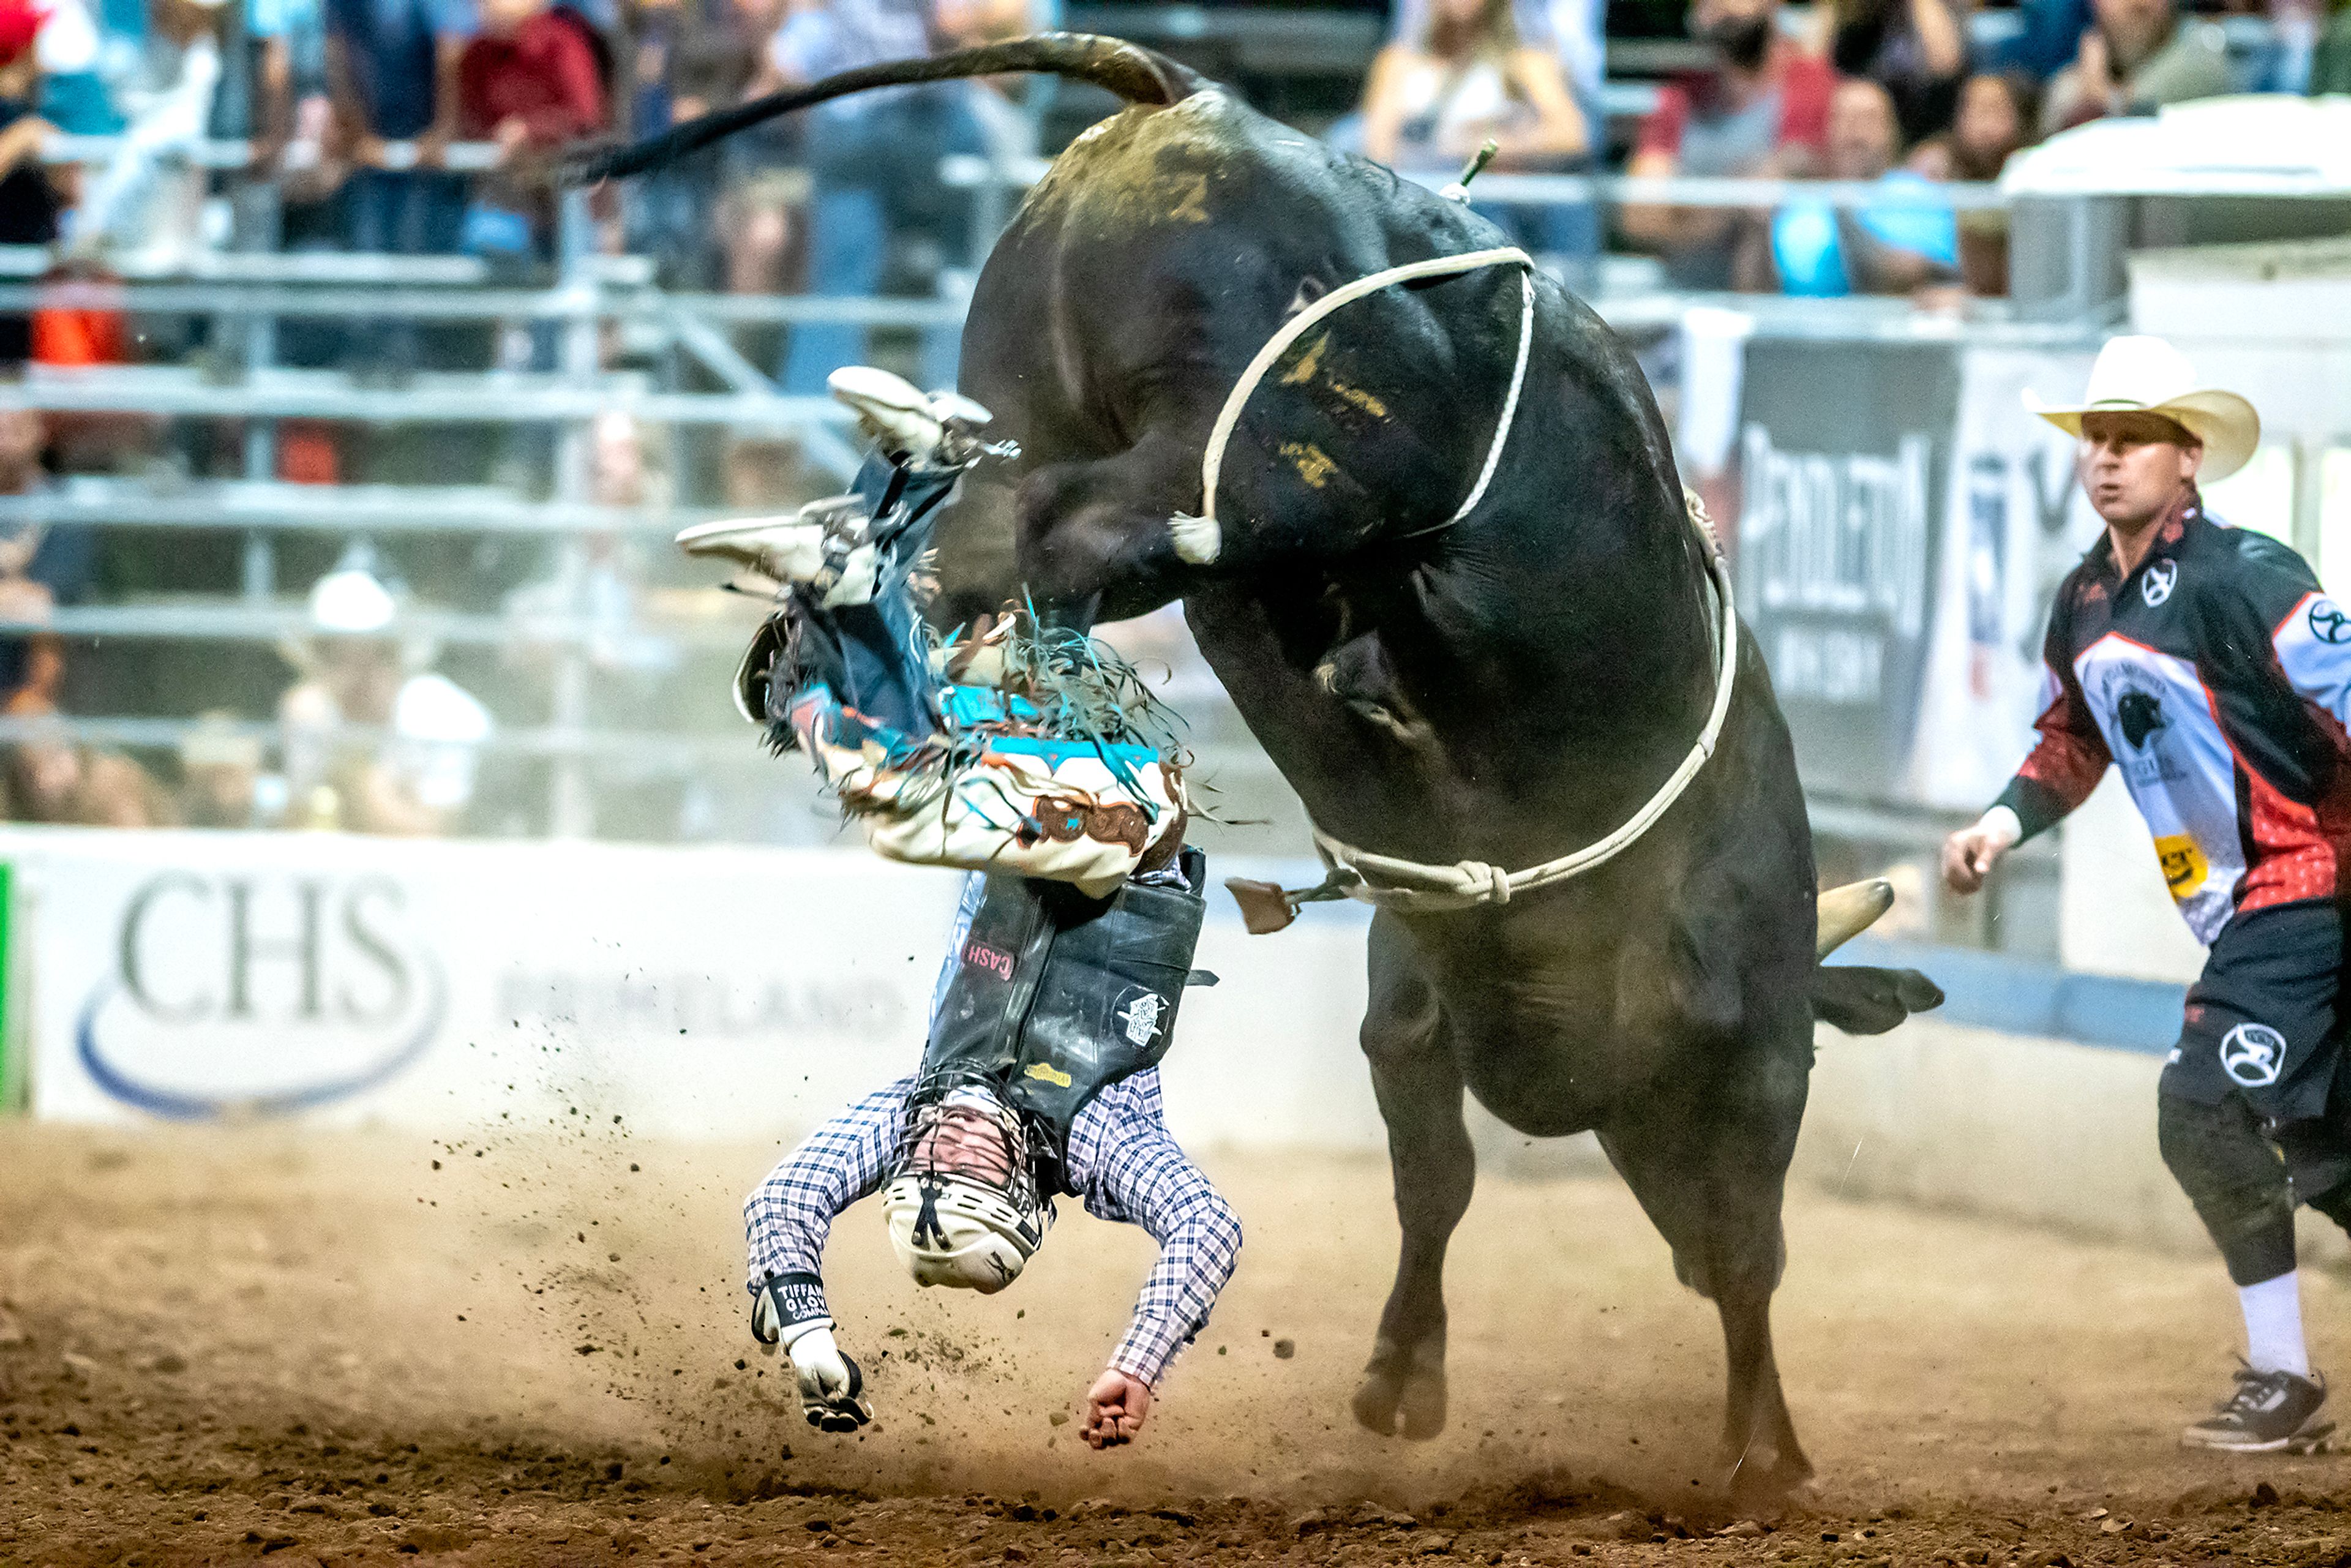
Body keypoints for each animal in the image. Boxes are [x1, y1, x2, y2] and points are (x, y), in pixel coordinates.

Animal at [592, 28, 1946, 1495]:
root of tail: (1198, 103)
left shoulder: (1412, 984)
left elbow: (1444, 1172)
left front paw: (1406, 1378)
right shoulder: (1747, 1036)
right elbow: (1740, 1244)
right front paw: (1769, 1444)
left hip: (1050, 407)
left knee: (982, 522)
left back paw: (833, 606)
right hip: (1246, 470)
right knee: (1063, 535)